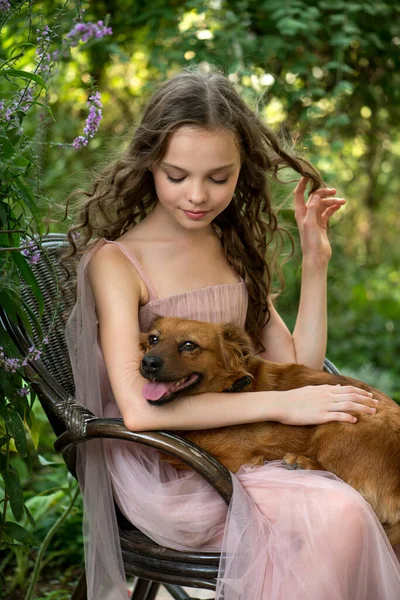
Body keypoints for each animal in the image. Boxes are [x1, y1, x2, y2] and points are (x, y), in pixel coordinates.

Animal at [140, 316, 400, 548]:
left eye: (188, 345)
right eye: (153, 339)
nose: (148, 362)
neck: (231, 387)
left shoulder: (235, 459)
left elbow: (171, 457)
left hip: (342, 425)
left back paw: (301, 462)